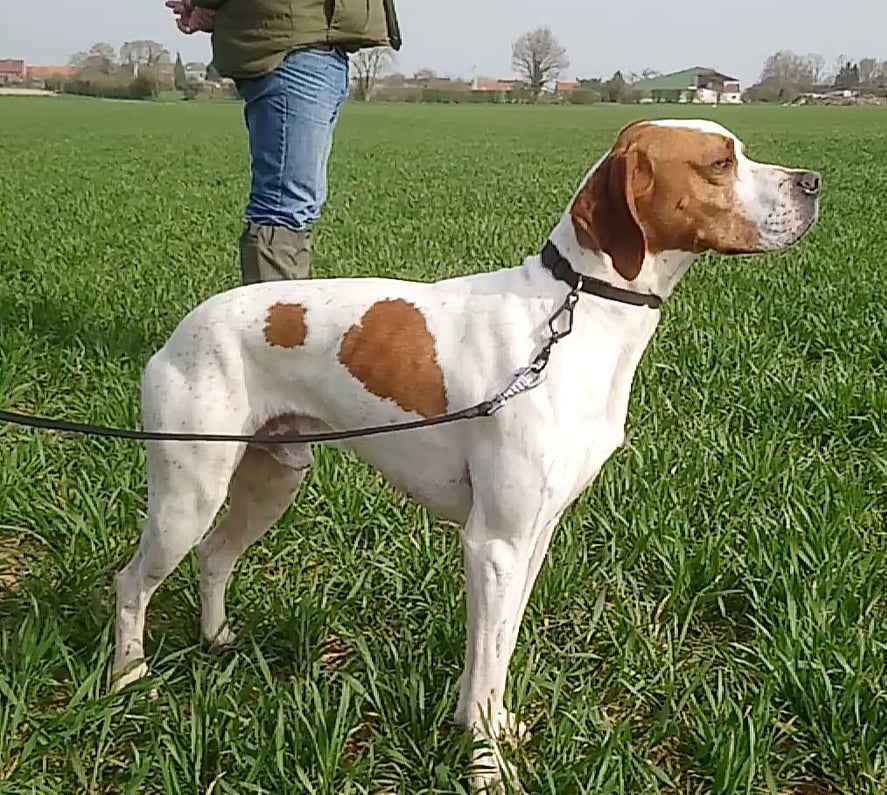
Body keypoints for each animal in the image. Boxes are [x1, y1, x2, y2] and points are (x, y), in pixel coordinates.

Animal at [111, 121, 820, 792]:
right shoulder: (493, 543)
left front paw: (493, 729)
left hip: (269, 481)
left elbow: (494, 655)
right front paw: (486, 768)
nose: (813, 181)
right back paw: (126, 679)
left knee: (215, 556)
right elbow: (484, 664)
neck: (572, 318)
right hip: (187, 495)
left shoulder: (532, 538)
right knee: (131, 582)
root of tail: (184, 328)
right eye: (721, 162)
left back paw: (215, 638)